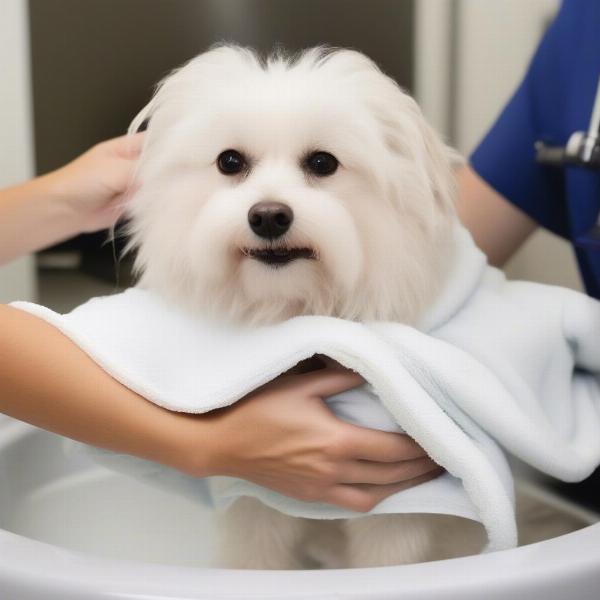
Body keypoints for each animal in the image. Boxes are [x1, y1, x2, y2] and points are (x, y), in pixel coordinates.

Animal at [123, 45, 482, 568]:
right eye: (229, 161)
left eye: (322, 162)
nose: (269, 216)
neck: (296, 309)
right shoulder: (251, 489)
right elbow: (254, 552)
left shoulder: (400, 500)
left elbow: (388, 561)